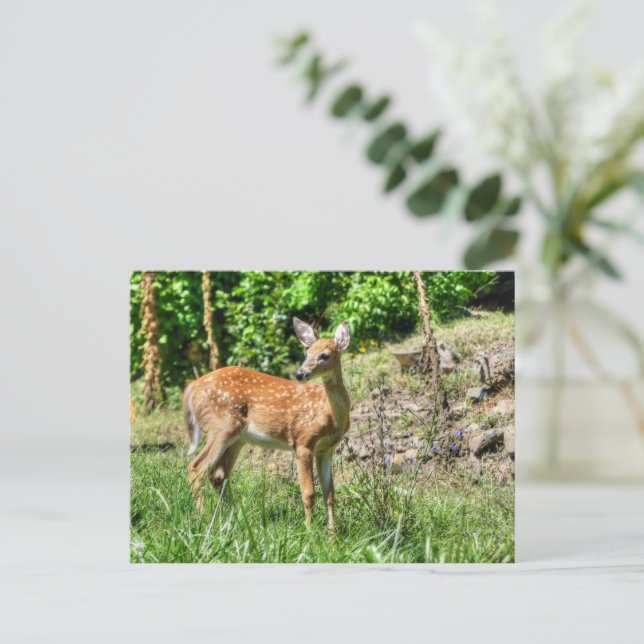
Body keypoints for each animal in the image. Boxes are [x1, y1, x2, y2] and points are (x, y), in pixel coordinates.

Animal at [183, 317, 351, 531]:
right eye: (307, 352)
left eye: (324, 355)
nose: (300, 373)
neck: (329, 414)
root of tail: (191, 388)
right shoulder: (303, 441)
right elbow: (309, 493)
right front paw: (310, 531)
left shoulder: (326, 449)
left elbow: (329, 494)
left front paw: (332, 534)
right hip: (221, 426)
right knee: (197, 468)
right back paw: (204, 518)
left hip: (237, 438)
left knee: (218, 474)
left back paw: (233, 517)